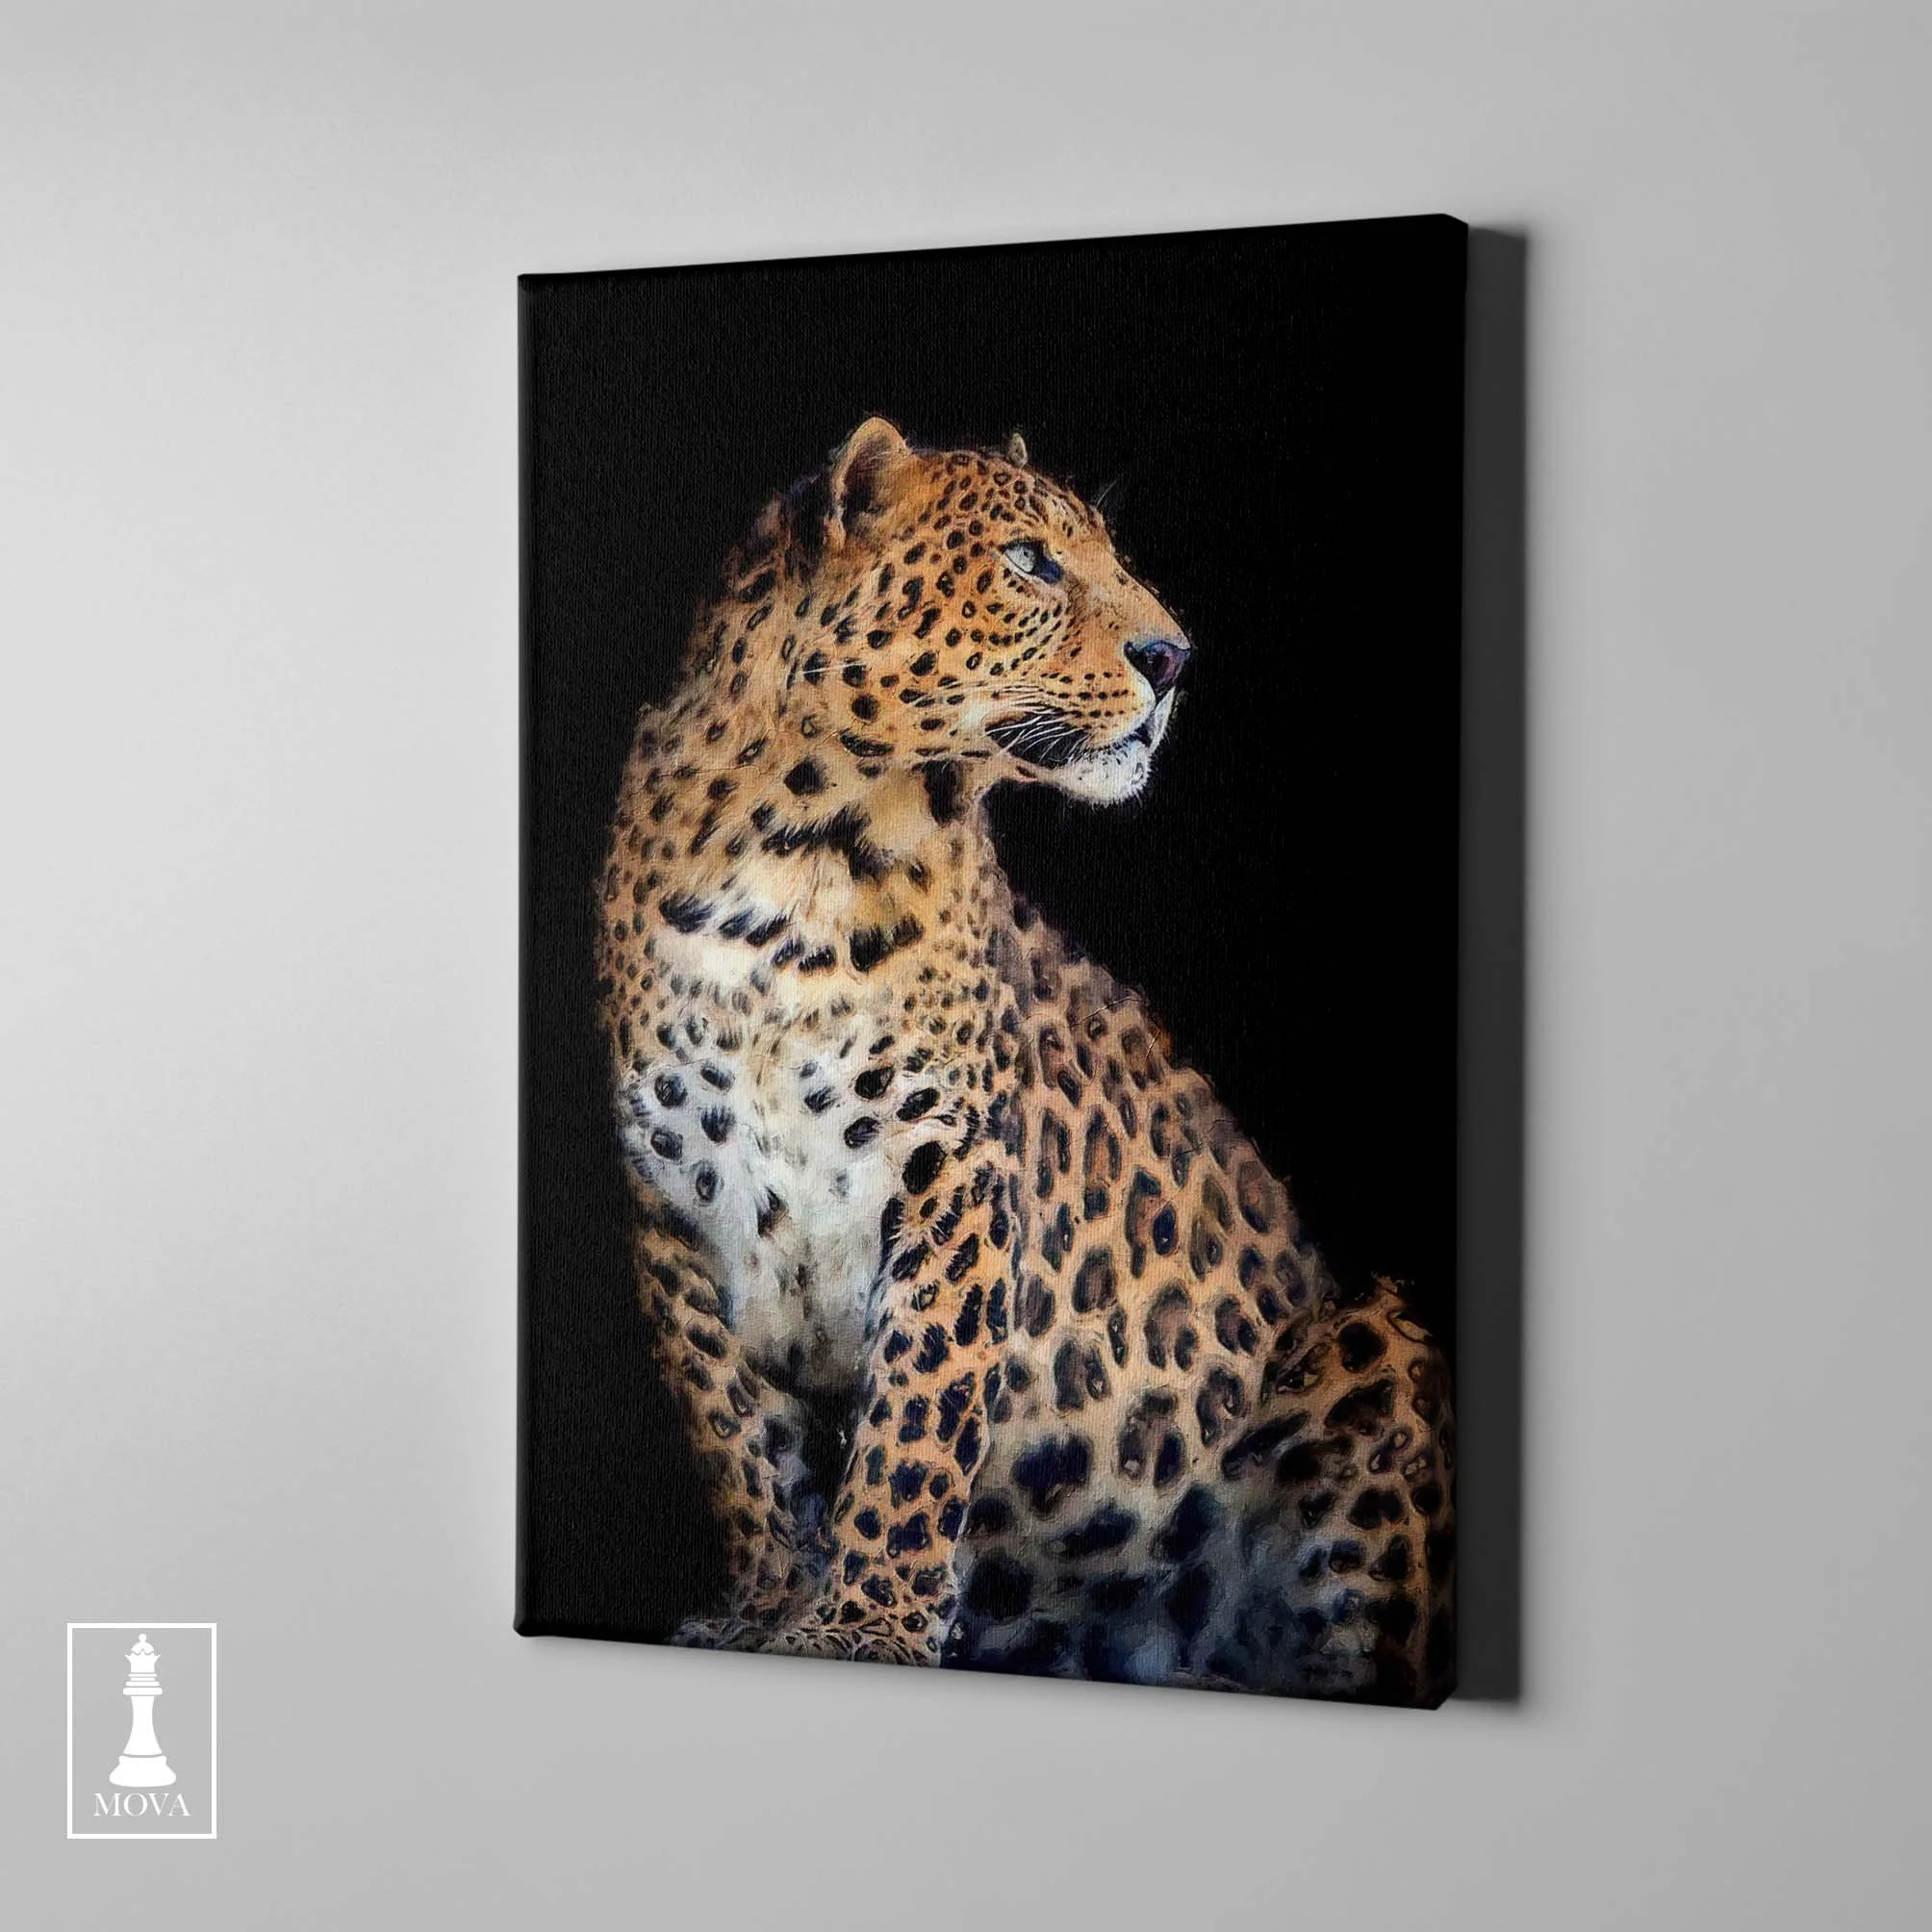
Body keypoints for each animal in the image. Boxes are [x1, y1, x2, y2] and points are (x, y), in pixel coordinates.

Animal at [594, 417, 1455, 1703]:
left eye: (1104, 554)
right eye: (1030, 562)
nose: (1174, 656)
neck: (796, 861)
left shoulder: (950, 1170)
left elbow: (916, 1419)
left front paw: (865, 1625)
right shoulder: (669, 1204)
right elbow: (736, 1432)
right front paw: (770, 1604)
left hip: (1380, 1341)